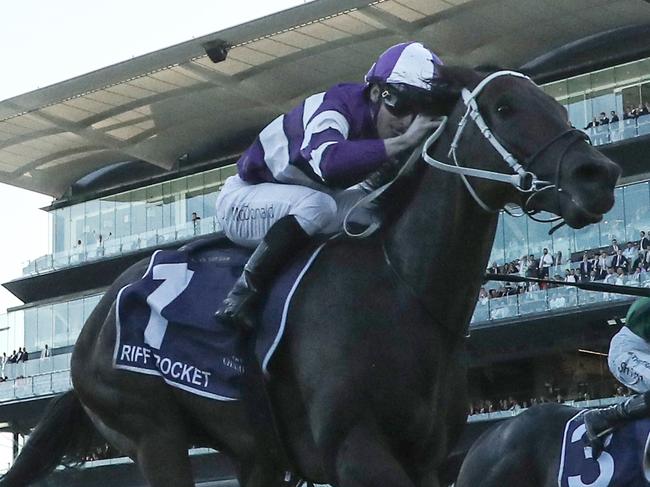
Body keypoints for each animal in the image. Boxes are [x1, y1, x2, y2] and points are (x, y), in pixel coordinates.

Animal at [0, 67, 616, 487]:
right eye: (506, 107)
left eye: (554, 102)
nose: (600, 175)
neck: (402, 293)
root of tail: (96, 317)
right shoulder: (354, 450)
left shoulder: (427, 458)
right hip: (151, 431)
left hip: (255, 453)